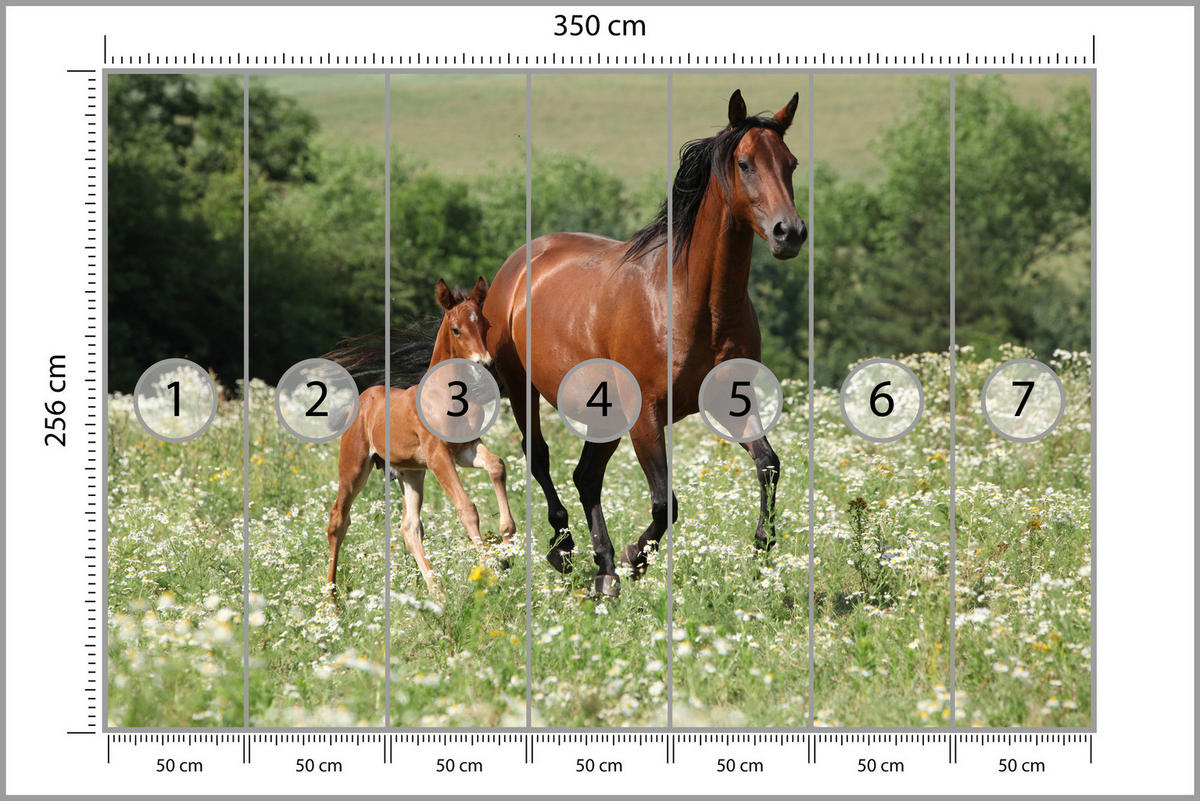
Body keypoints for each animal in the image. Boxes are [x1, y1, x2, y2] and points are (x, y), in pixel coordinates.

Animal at [324, 277, 517, 595]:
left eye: (485, 324)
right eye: (456, 329)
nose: (485, 364)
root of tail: (364, 398)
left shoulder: (466, 449)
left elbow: (496, 465)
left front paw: (508, 535)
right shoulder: (439, 455)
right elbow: (467, 508)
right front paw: (489, 574)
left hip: (411, 473)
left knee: (409, 526)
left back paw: (436, 591)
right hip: (354, 467)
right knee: (338, 519)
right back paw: (331, 597)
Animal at [482, 90, 806, 597]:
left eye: (790, 163)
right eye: (745, 163)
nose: (788, 233)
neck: (696, 302)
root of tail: (518, 264)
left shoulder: (733, 400)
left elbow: (768, 463)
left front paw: (762, 542)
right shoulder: (647, 415)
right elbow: (664, 502)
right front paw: (636, 558)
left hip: (604, 410)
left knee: (586, 477)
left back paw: (603, 568)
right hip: (522, 389)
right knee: (542, 458)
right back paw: (566, 550)